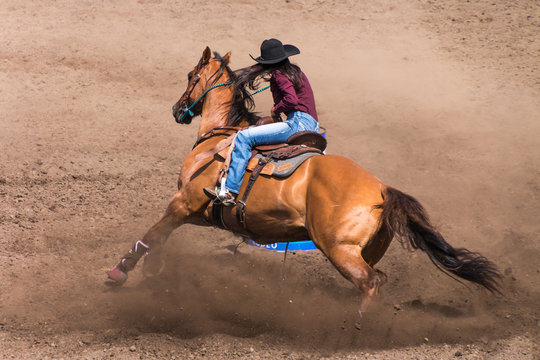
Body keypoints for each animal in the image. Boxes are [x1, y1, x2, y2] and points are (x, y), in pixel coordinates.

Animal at [106, 47, 502, 312]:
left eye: (191, 75)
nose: (177, 111)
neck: (221, 136)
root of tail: (382, 190)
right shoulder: (194, 213)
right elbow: (160, 239)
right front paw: (154, 274)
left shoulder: (183, 203)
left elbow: (150, 236)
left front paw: (118, 273)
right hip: (365, 249)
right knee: (377, 279)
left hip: (339, 249)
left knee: (370, 283)